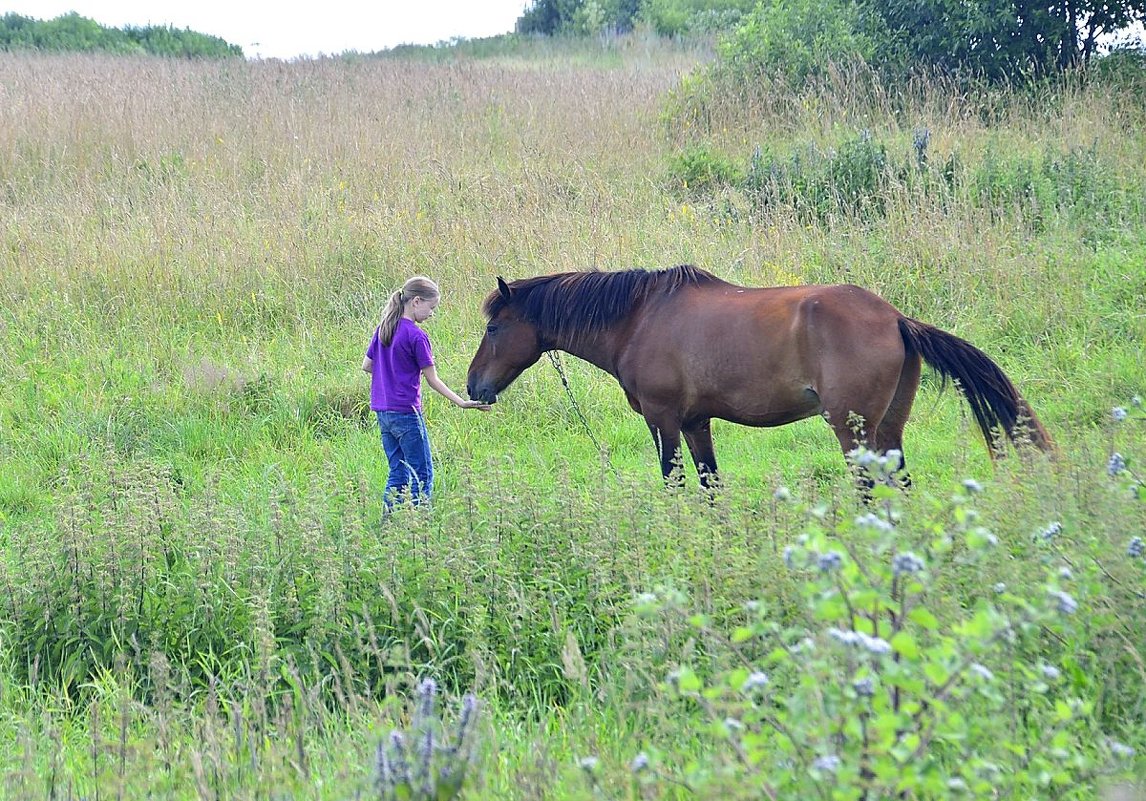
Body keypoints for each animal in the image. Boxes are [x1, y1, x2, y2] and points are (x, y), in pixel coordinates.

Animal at [465, 265, 1054, 485]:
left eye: (493, 327)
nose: (474, 387)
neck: (638, 317)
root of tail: (895, 318)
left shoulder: (663, 420)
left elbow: (675, 481)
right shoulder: (697, 423)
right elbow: (709, 484)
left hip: (853, 429)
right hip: (889, 427)